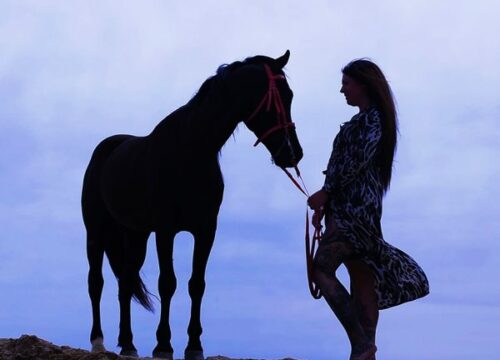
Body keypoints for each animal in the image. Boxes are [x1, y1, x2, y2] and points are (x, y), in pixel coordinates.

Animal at [80, 51, 302, 360]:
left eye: (290, 94)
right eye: (282, 96)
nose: (294, 154)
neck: (190, 151)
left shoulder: (206, 229)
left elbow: (197, 284)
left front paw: (194, 345)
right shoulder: (165, 230)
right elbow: (167, 283)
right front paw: (163, 345)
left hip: (134, 235)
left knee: (125, 281)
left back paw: (128, 344)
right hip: (96, 231)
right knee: (96, 282)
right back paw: (98, 341)